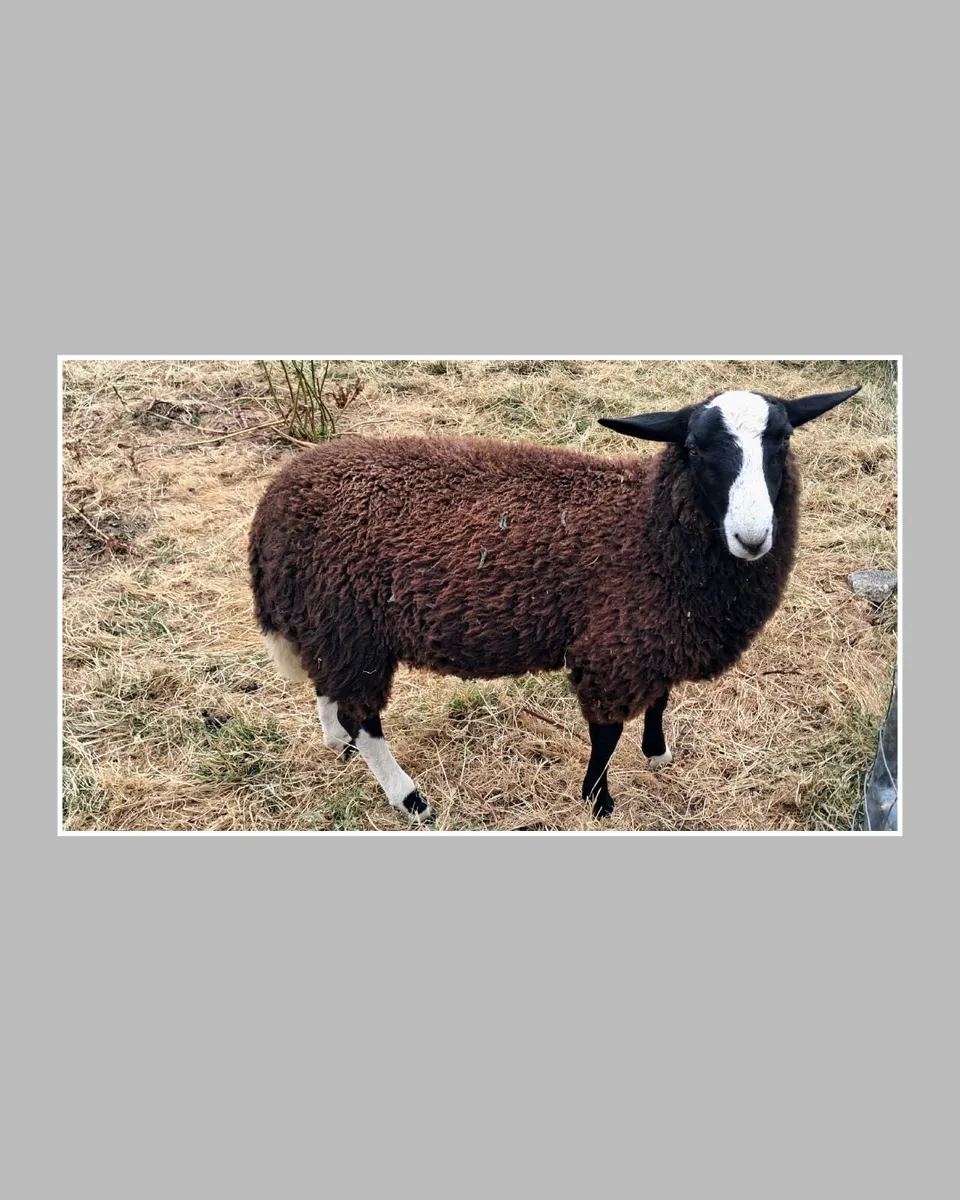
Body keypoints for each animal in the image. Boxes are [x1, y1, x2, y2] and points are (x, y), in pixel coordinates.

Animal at [248, 384, 860, 821]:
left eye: (782, 441)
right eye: (693, 448)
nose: (752, 537)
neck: (644, 529)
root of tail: (276, 499)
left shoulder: (654, 633)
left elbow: (660, 699)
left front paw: (657, 753)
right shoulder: (615, 645)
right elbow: (606, 734)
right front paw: (598, 801)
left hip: (329, 625)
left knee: (328, 688)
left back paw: (337, 743)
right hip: (352, 625)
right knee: (364, 716)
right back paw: (410, 797)